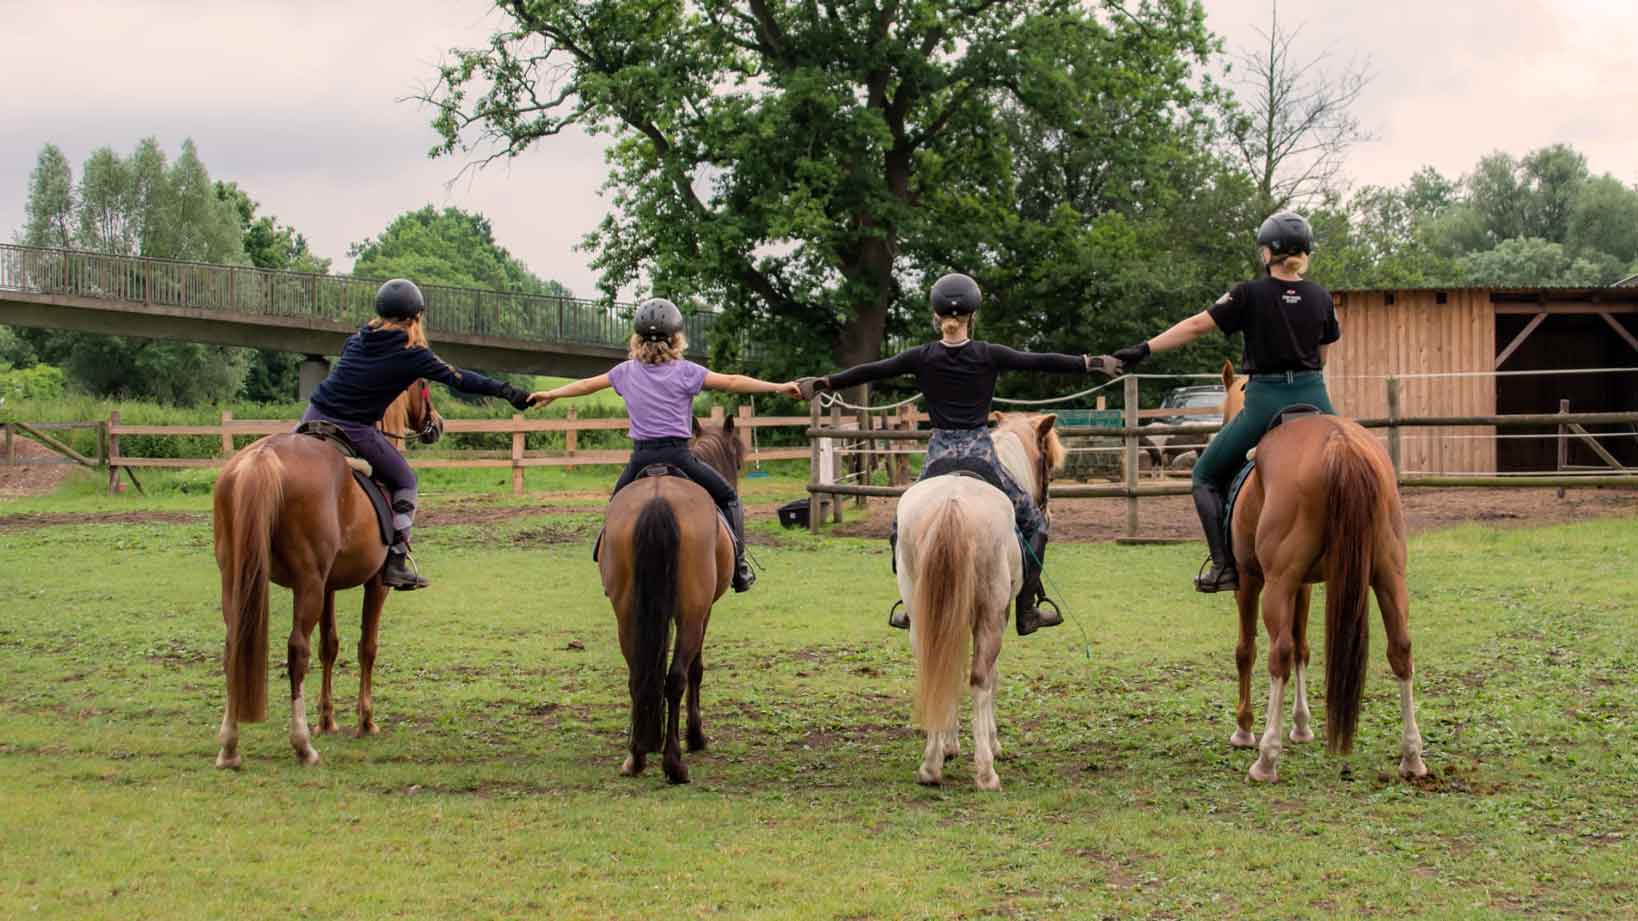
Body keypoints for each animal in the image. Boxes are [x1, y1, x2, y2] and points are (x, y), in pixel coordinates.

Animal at [211, 381, 443, 768]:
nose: (437, 423)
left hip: (238, 579)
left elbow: (329, 646)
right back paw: (302, 745)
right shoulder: (375, 584)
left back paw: (230, 746)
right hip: (307, 585)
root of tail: (263, 458)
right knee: (297, 651)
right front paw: (365, 721)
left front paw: (328, 720)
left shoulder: (328, 587)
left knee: (233, 646)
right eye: (422, 387)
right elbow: (367, 646)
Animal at [600, 413, 744, 784]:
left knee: (638, 675)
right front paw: (696, 736)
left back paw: (636, 757)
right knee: (677, 677)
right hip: (692, 613)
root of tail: (658, 497)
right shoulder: (703, 612)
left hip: (627, 613)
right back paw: (675, 763)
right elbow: (696, 669)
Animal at [895, 412, 1064, 790]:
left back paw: (931, 766)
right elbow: (991, 677)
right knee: (979, 678)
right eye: (1048, 464)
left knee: (935, 667)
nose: (1048, 512)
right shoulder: (998, 614)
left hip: (923, 613)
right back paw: (986, 772)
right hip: (990, 615)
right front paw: (993, 742)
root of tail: (952, 504)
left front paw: (949, 745)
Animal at [1218, 362, 1428, 783]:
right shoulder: (1305, 585)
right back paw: (1411, 756)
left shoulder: (1251, 582)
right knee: (1400, 647)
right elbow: (1304, 647)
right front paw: (1301, 725)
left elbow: (1247, 650)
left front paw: (1244, 728)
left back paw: (1266, 758)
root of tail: (1340, 444)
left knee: (1278, 653)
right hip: (1387, 574)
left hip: (1276, 584)